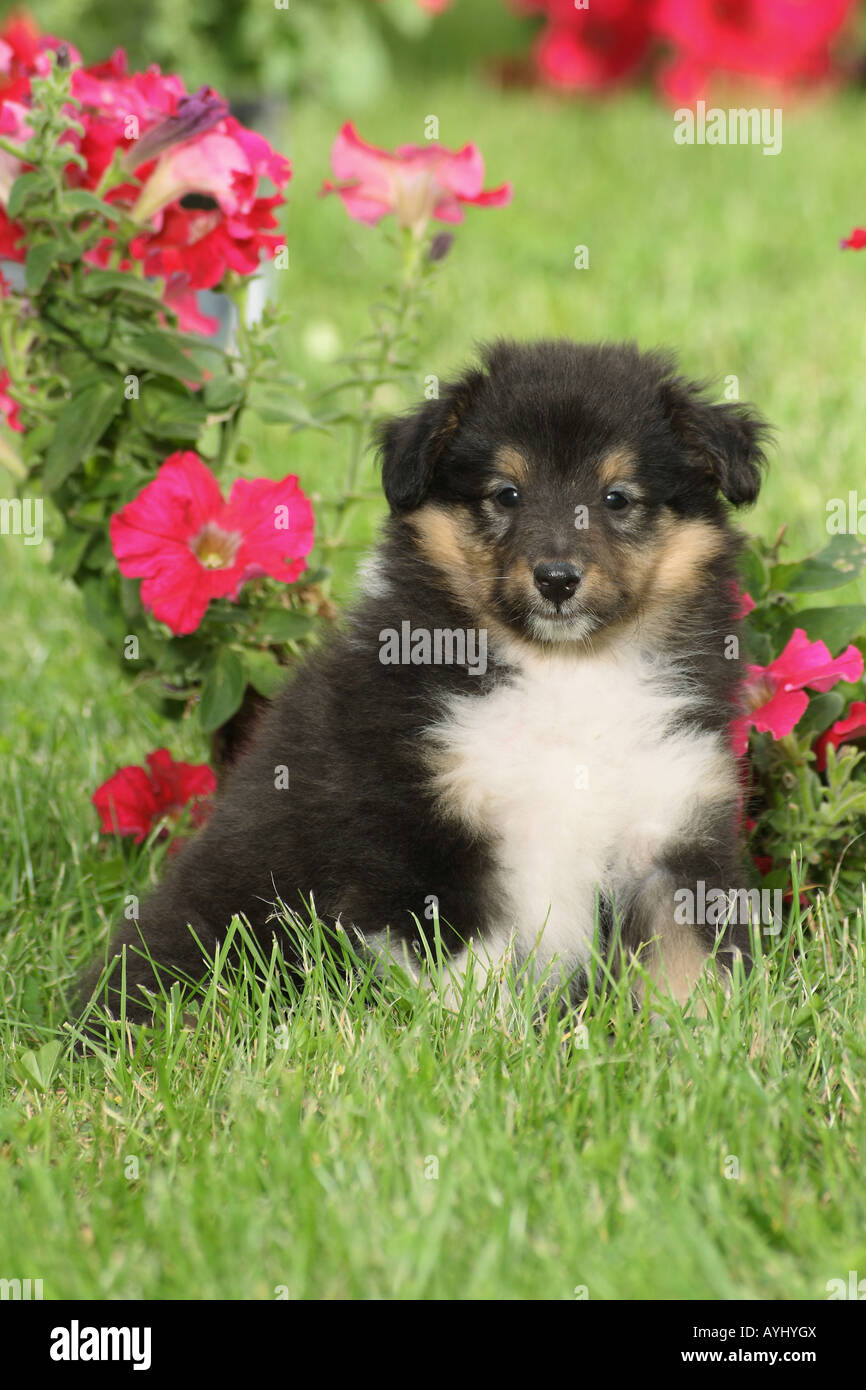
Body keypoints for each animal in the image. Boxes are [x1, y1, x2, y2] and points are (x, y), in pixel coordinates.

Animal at [77, 341, 767, 1028]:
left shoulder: (672, 836)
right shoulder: (424, 839)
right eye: (506, 493)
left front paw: (709, 1045)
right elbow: (474, 976)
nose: (556, 578)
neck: (567, 669)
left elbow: (692, 972)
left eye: (618, 498)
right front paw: (487, 1046)